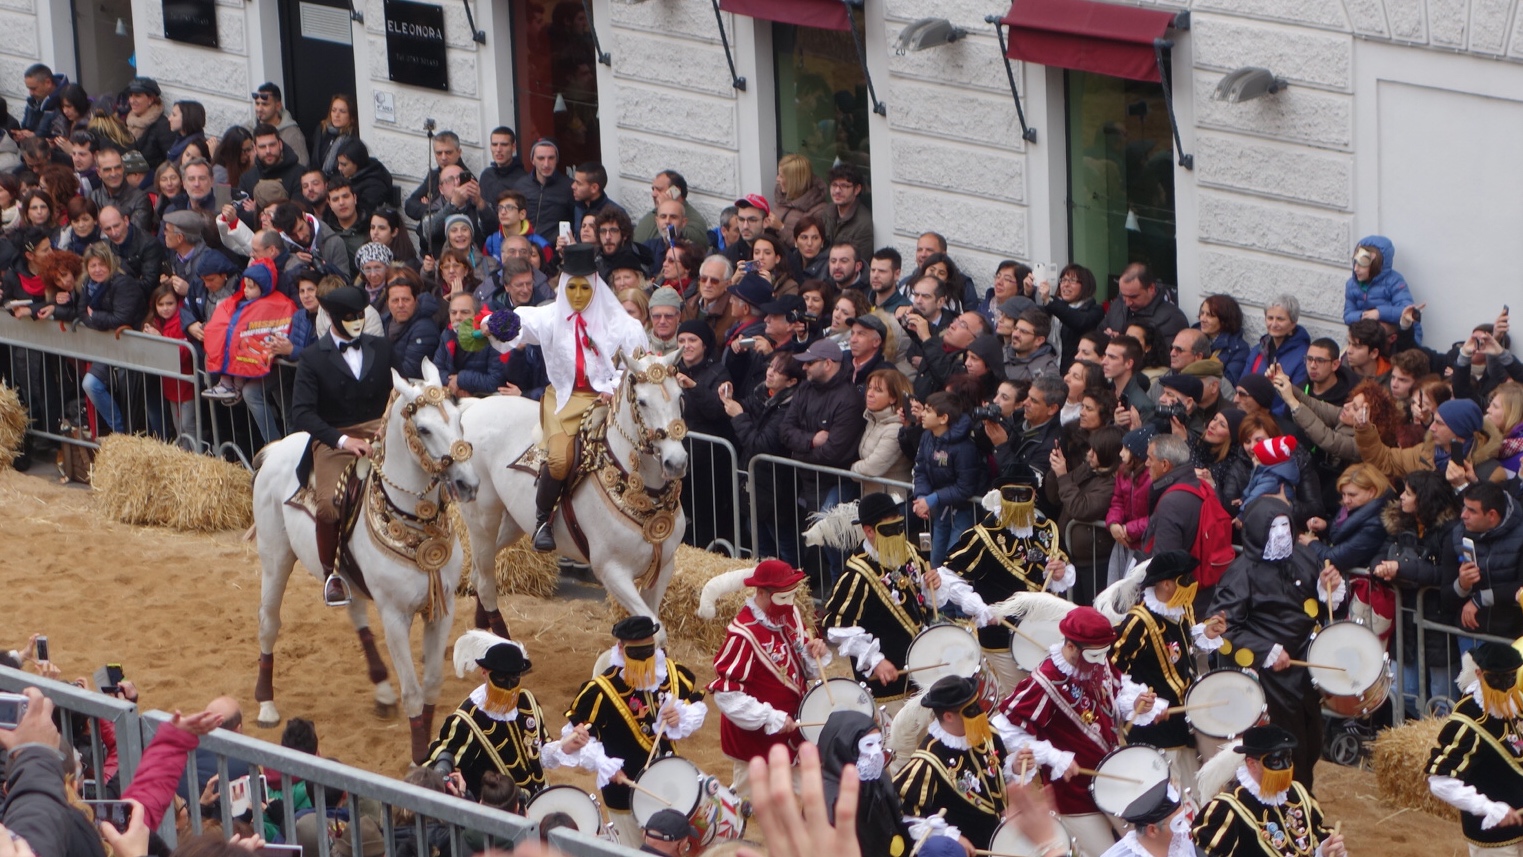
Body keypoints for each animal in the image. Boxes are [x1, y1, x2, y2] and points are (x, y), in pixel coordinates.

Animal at [251, 359, 475, 761]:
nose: (467, 483)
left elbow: (432, 683)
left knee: (354, 613)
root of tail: (277, 448)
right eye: (423, 429)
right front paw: (419, 758)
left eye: (459, 421)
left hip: (341, 573)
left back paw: (381, 689)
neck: (414, 523)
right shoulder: (394, 615)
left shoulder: (442, 608)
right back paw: (266, 705)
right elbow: (413, 691)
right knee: (268, 622)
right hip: (275, 557)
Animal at [453, 350, 688, 636]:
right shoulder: (612, 571)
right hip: (482, 520)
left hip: (512, 523)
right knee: (486, 581)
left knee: (479, 572)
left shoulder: (664, 566)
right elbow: (658, 631)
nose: (676, 462)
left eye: (680, 396)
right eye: (642, 402)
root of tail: (475, 407)